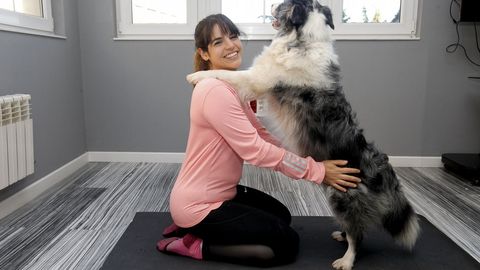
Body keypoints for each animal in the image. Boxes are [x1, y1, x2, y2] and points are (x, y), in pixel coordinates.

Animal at [188, 1, 420, 268]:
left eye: (282, 5)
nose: (273, 5)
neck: (305, 39)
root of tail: (383, 167)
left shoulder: (257, 78)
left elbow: (228, 74)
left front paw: (197, 76)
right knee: (356, 226)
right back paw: (341, 235)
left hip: (345, 197)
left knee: (358, 233)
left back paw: (346, 259)